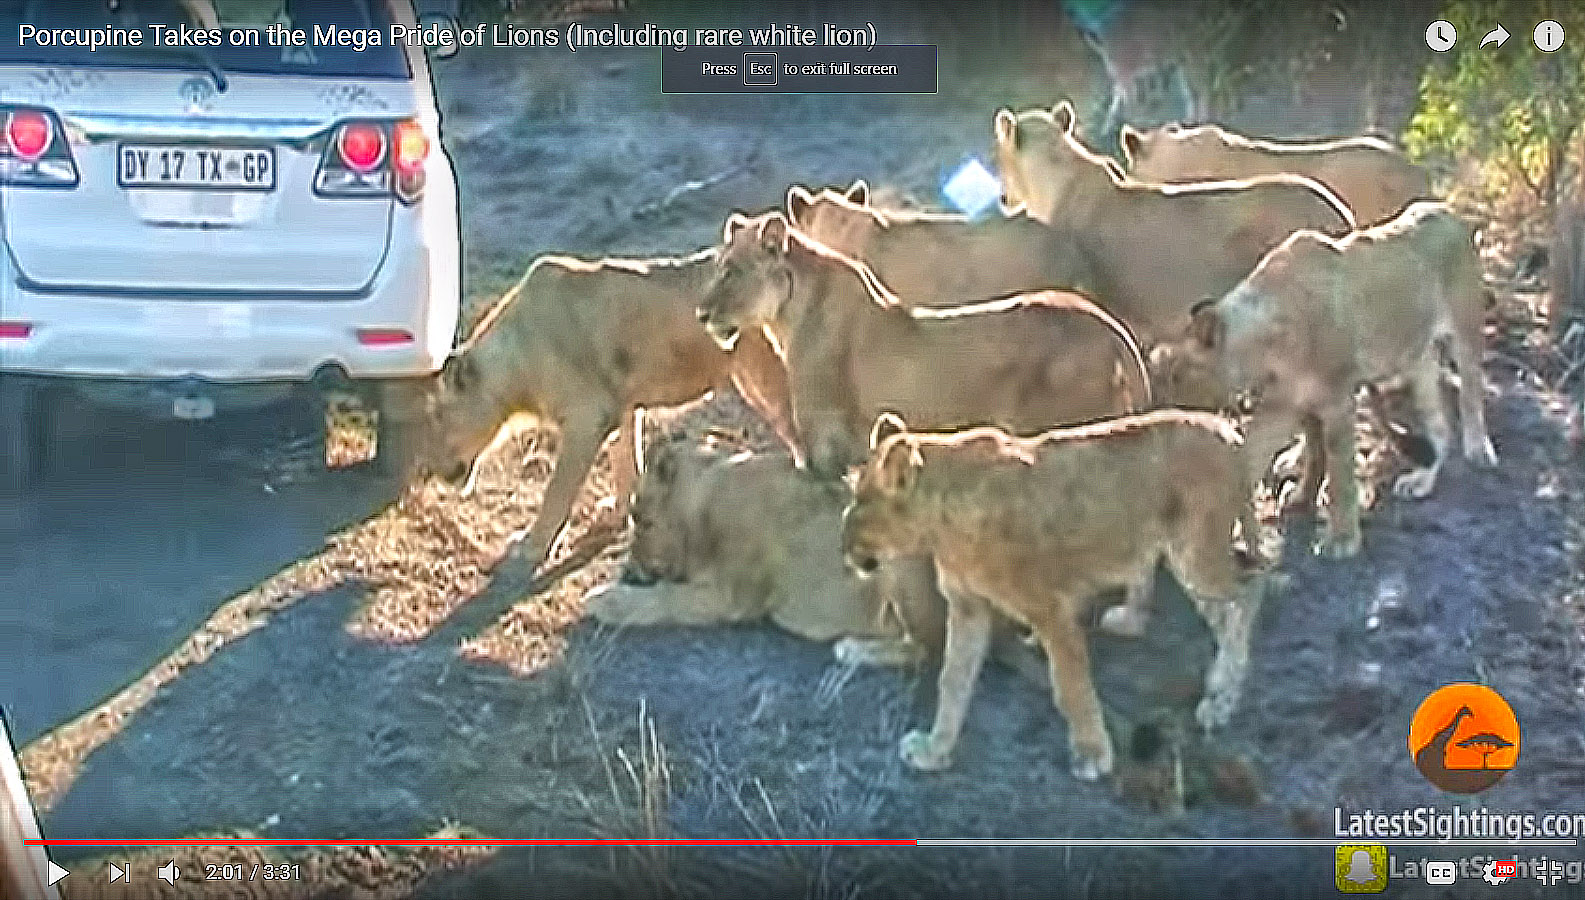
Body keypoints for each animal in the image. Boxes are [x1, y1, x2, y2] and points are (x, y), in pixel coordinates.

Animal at [413, 250, 800, 582]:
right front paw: (617, 514)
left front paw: (529, 547)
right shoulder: (622, 408)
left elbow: (556, 493)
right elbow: (625, 463)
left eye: (435, 420)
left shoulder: (588, 418)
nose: (428, 471)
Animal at [586, 435, 1048, 681]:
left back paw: (854, 651)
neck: (705, 497)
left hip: (901, 558)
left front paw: (605, 599)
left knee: (929, 652)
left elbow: (664, 598)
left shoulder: (734, 595)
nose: (630, 567)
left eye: (639, 518)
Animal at [842, 412, 1269, 779]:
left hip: (1195, 554)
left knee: (1247, 595)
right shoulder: (968, 608)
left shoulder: (1051, 610)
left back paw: (1221, 695)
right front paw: (935, 750)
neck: (940, 524)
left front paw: (1093, 754)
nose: (843, 546)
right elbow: (953, 682)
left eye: (859, 504)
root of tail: (1229, 433)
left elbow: (1069, 686)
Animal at [1151, 202, 1498, 559]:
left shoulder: (1337, 400)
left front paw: (1342, 540)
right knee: (1440, 427)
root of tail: (1450, 212)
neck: (1266, 344)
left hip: (1465, 331)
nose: (1164, 416)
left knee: (1471, 393)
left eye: (1177, 375)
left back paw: (1478, 449)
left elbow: (1340, 470)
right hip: (1417, 361)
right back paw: (1421, 481)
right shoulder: (1281, 405)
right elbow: (1253, 460)